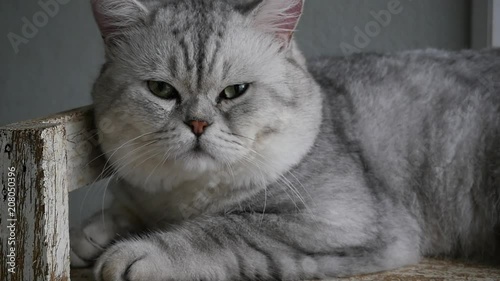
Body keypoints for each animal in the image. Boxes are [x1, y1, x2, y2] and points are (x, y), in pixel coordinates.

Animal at [69, 0, 500, 278]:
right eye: (161, 90)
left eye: (234, 92)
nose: (197, 124)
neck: (183, 200)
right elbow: (124, 209)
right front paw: (91, 234)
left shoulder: (336, 221)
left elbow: (224, 229)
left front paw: (137, 251)